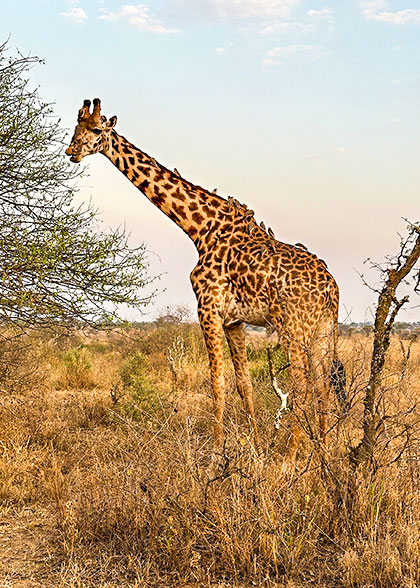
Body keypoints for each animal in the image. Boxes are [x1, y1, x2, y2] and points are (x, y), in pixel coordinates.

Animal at [67, 97, 346, 460]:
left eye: (98, 130)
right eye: (77, 127)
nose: (72, 151)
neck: (201, 229)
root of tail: (329, 287)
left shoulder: (208, 308)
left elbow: (217, 382)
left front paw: (216, 453)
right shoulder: (234, 320)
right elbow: (243, 384)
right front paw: (256, 448)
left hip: (293, 326)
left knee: (302, 386)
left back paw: (289, 457)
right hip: (325, 327)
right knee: (323, 385)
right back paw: (323, 454)